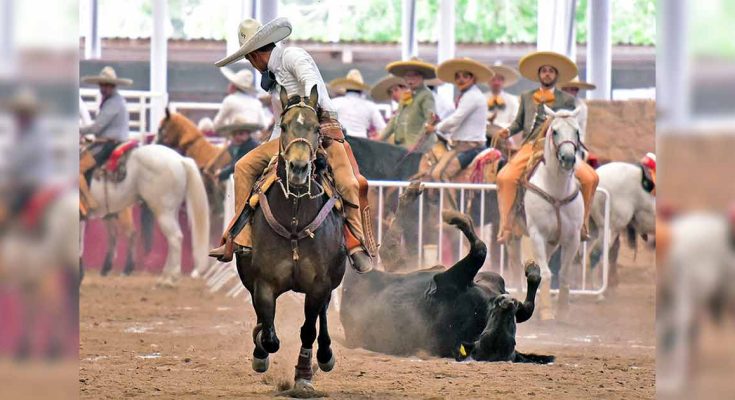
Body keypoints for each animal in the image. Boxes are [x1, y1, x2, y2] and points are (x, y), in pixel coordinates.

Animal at [82, 145, 211, 286]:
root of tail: (181, 160)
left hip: (162, 212)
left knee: (174, 238)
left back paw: (169, 279)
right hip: (171, 211)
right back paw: (164, 277)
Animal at [234, 86, 346, 394]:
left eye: (316, 128)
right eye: (283, 126)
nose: (298, 168)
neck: (295, 218)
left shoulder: (319, 285)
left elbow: (308, 329)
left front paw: (304, 376)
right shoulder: (263, 283)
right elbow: (269, 332)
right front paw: (260, 351)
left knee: (322, 317)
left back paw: (325, 356)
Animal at [506, 107, 588, 322]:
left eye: (577, 131)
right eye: (555, 131)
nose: (568, 158)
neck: (556, 190)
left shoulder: (573, 238)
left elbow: (564, 273)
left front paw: (563, 312)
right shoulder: (537, 235)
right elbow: (546, 273)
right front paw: (546, 312)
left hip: (552, 242)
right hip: (515, 235)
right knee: (516, 266)